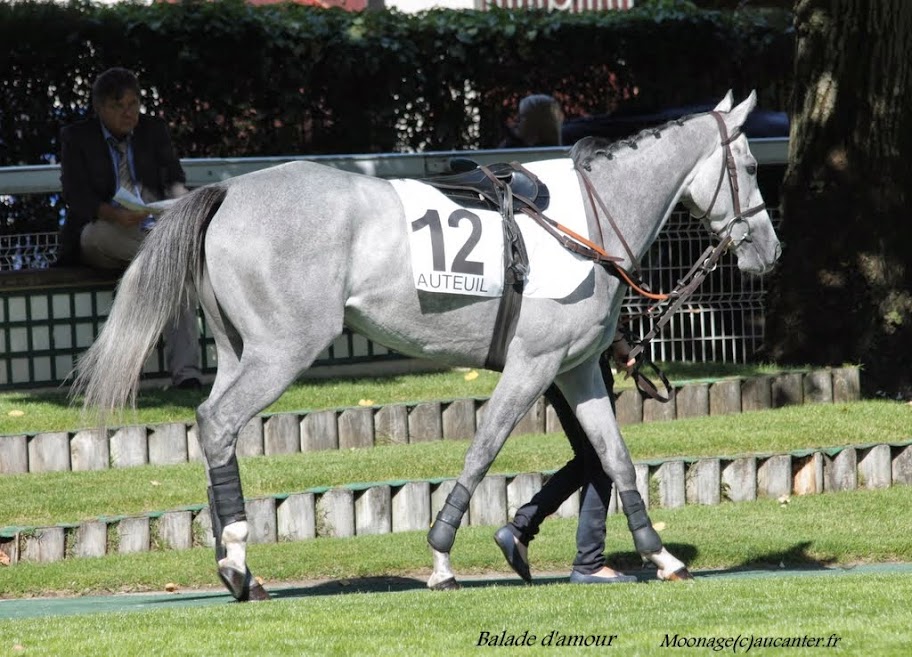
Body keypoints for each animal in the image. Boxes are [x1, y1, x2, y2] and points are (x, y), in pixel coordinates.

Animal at [75, 91, 780, 600]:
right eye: (749, 168)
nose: (770, 253)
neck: (587, 220)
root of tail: (228, 192)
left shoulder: (576, 371)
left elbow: (615, 460)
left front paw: (661, 556)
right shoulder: (532, 365)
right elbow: (483, 448)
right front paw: (444, 557)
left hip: (238, 350)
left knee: (209, 424)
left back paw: (236, 562)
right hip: (281, 353)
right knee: (220, 423)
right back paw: (239, 562)